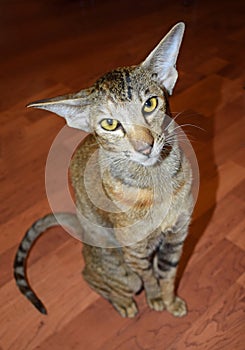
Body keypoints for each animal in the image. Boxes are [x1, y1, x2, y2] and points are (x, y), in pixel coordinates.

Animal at [14, 21, 194, 318]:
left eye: (150, 103)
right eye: (110, 124)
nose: (145, 147)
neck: (154, 180)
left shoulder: (177, 234)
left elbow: (168, 273)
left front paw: (171, 301)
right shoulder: (135, 251)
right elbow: (148, 277)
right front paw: (156, 299)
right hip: (117, 266)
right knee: (92, 276)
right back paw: (124, 304)